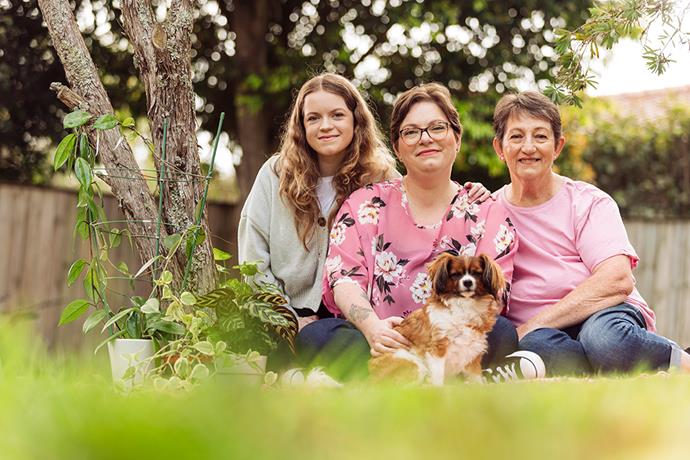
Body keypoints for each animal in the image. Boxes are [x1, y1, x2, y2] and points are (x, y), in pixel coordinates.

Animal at [368, 252, 502, 384]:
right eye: (455, 275)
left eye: (477, 273)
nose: (468, 282)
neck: (464, 305)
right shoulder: (437, 350)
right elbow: (438, 379)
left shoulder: (472, 356)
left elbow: (477, 381)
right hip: (413, 364)